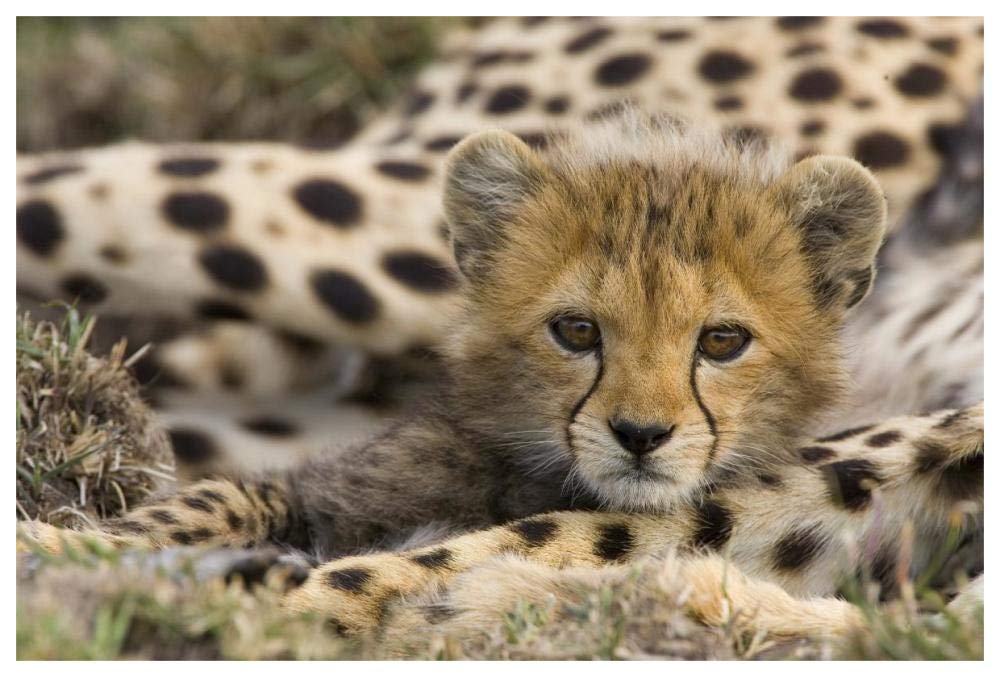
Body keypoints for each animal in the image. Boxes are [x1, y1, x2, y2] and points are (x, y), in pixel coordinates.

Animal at [18, 112, 984, 649]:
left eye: (722, 339)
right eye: (577, 330)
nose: (641, 434)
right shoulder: (325, 488)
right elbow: (217, 499)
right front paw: (73, 550)